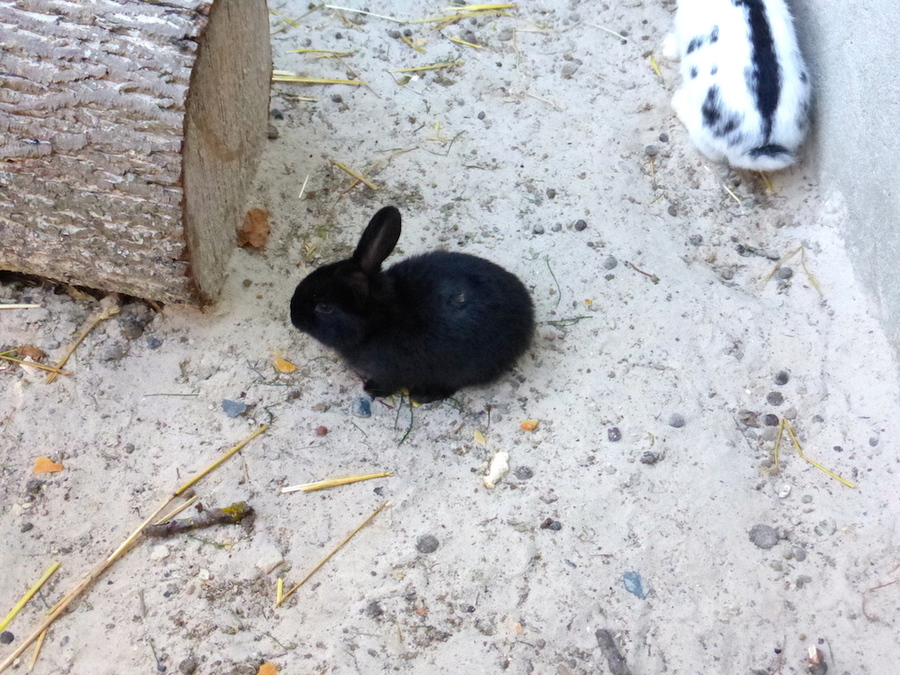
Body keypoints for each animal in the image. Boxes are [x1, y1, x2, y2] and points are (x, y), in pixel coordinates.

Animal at [290, 206, 536, 404]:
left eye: (324, 307)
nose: (293, 317)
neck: (378, 322)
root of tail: (528, 318)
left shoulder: (390, 371)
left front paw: (372, 390)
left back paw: (422, 395)